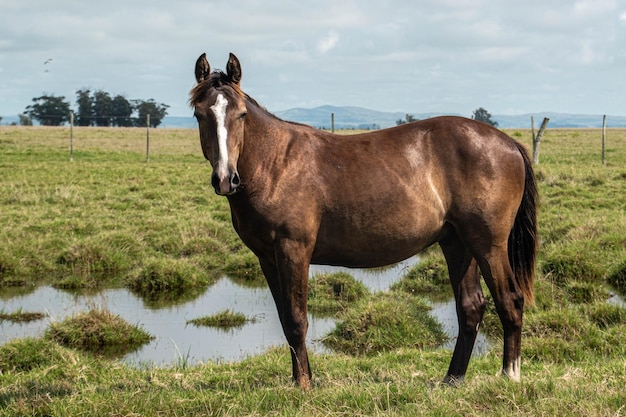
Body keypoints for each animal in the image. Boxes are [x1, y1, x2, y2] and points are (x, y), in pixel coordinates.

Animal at [189, 52, 536, 390]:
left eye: (241, 115)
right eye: (200, 115)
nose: (225, 179)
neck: (276, 164)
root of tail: (509, 144)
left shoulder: (293, 251)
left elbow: (298, 320)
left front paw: (304, 386)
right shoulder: (267, 258)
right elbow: (286, 319)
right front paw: (300, 380)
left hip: (488, 245)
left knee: (510, 300)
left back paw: (510, 374)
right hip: (457, 243)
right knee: (471, 307)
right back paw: (452, 379)